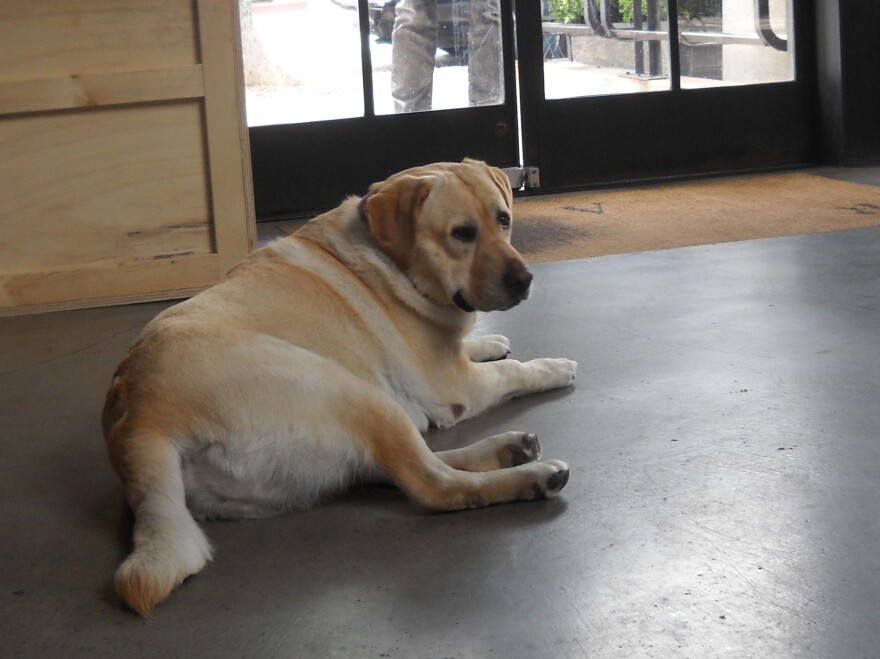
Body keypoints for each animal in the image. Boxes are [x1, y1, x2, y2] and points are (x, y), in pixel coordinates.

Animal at [103, 159, 576, 612]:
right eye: (462, 233)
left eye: (503, 220)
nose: (524, 279)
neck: (390, 259)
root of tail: (139, 421)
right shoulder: (454, 386)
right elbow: (514, 373)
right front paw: (552, 367)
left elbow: (481, 352)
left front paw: (490, 342)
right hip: (353, 393)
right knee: (434, 483)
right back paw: (530, 477)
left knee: (394, 467)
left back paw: (509, 449)